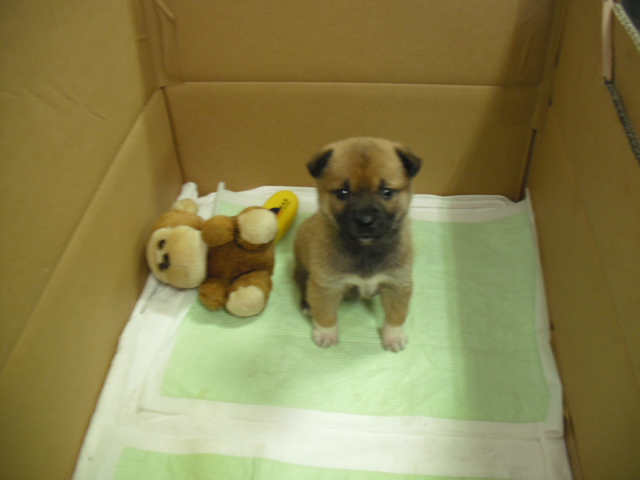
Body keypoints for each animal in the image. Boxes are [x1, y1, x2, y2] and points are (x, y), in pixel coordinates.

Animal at [294, 137, 421, 352]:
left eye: (387, 192)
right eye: (343, 192)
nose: (365, 221)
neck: (365, 248)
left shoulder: (397, 283)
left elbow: (397, 314)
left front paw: (393, 336)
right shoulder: (326, 285)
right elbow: (325, 314)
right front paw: (326, 333)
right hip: (305, 270)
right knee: (303, 284)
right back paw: (307, 305)